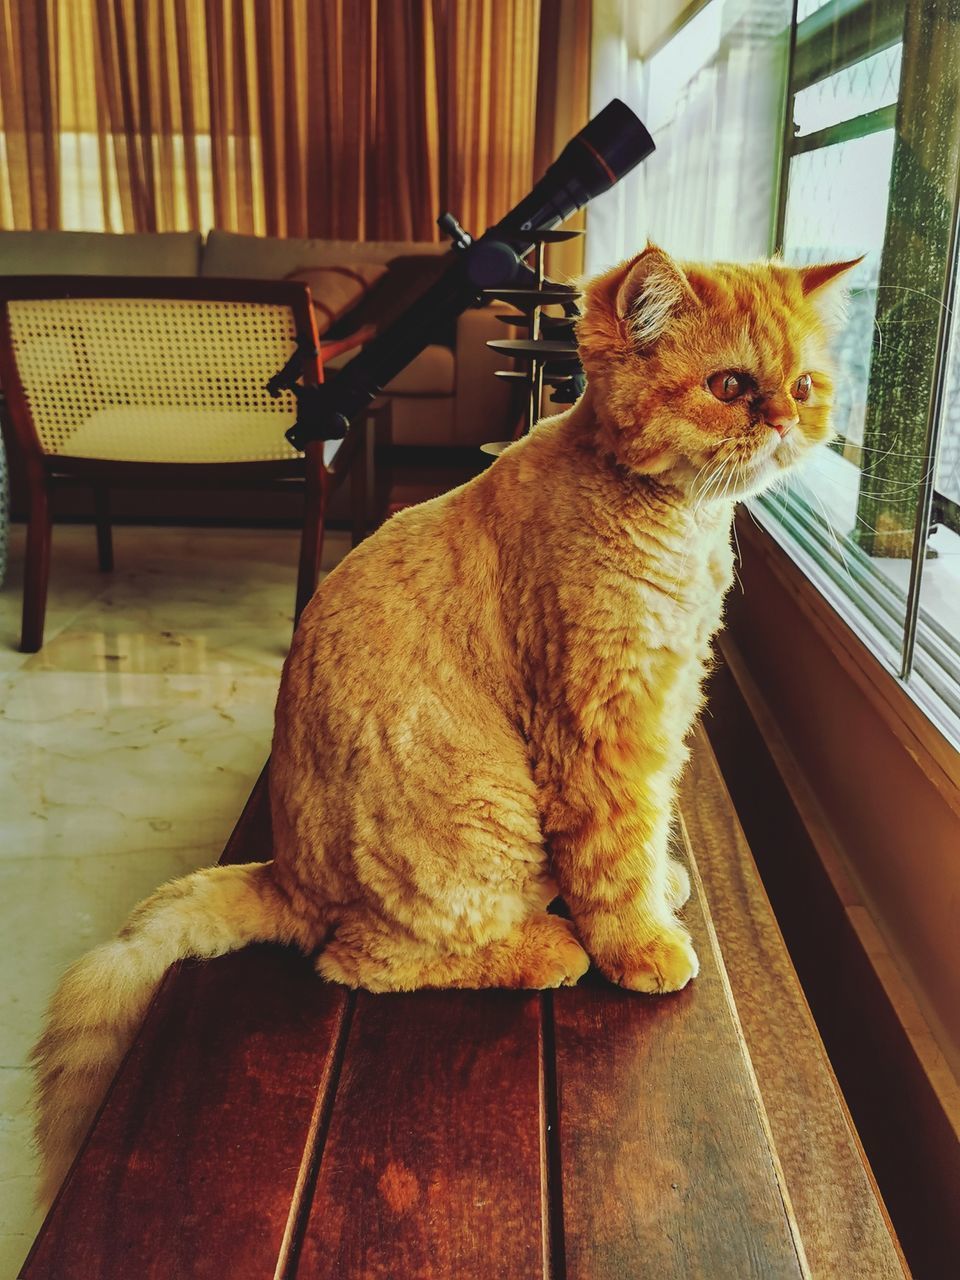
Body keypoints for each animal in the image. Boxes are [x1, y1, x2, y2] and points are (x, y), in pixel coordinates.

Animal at [32, 247, 855, 1198]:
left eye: (803, 384)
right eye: (730, 385)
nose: (787, 419)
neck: (677, 523)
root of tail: (286, 878)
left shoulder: (670, 702)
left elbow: (644, 839)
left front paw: (663, 887)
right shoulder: (603, 727)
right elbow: (617, 854)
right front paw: (642, 943)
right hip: (479, 812)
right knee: (367, 959)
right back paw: (545, 948)